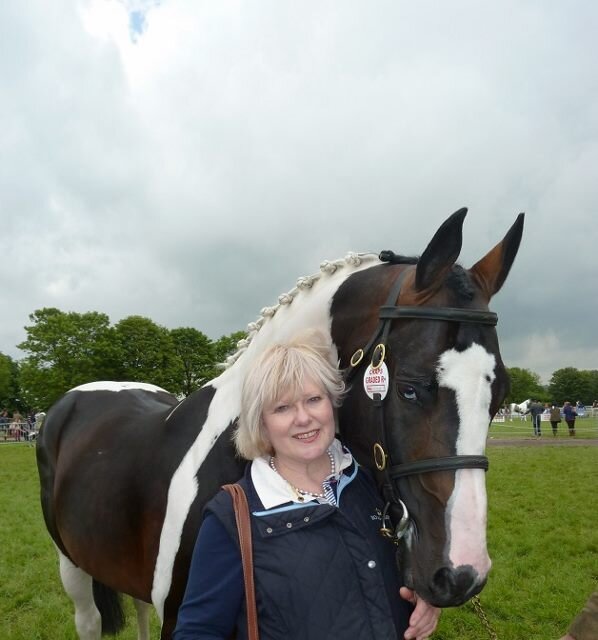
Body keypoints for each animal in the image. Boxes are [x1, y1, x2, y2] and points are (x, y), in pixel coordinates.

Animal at [37, 208, 524, 636]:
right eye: (409, 388)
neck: (235, 454)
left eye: (500, 397)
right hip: (70, 565)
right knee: (88, 620)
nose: (462, 574)